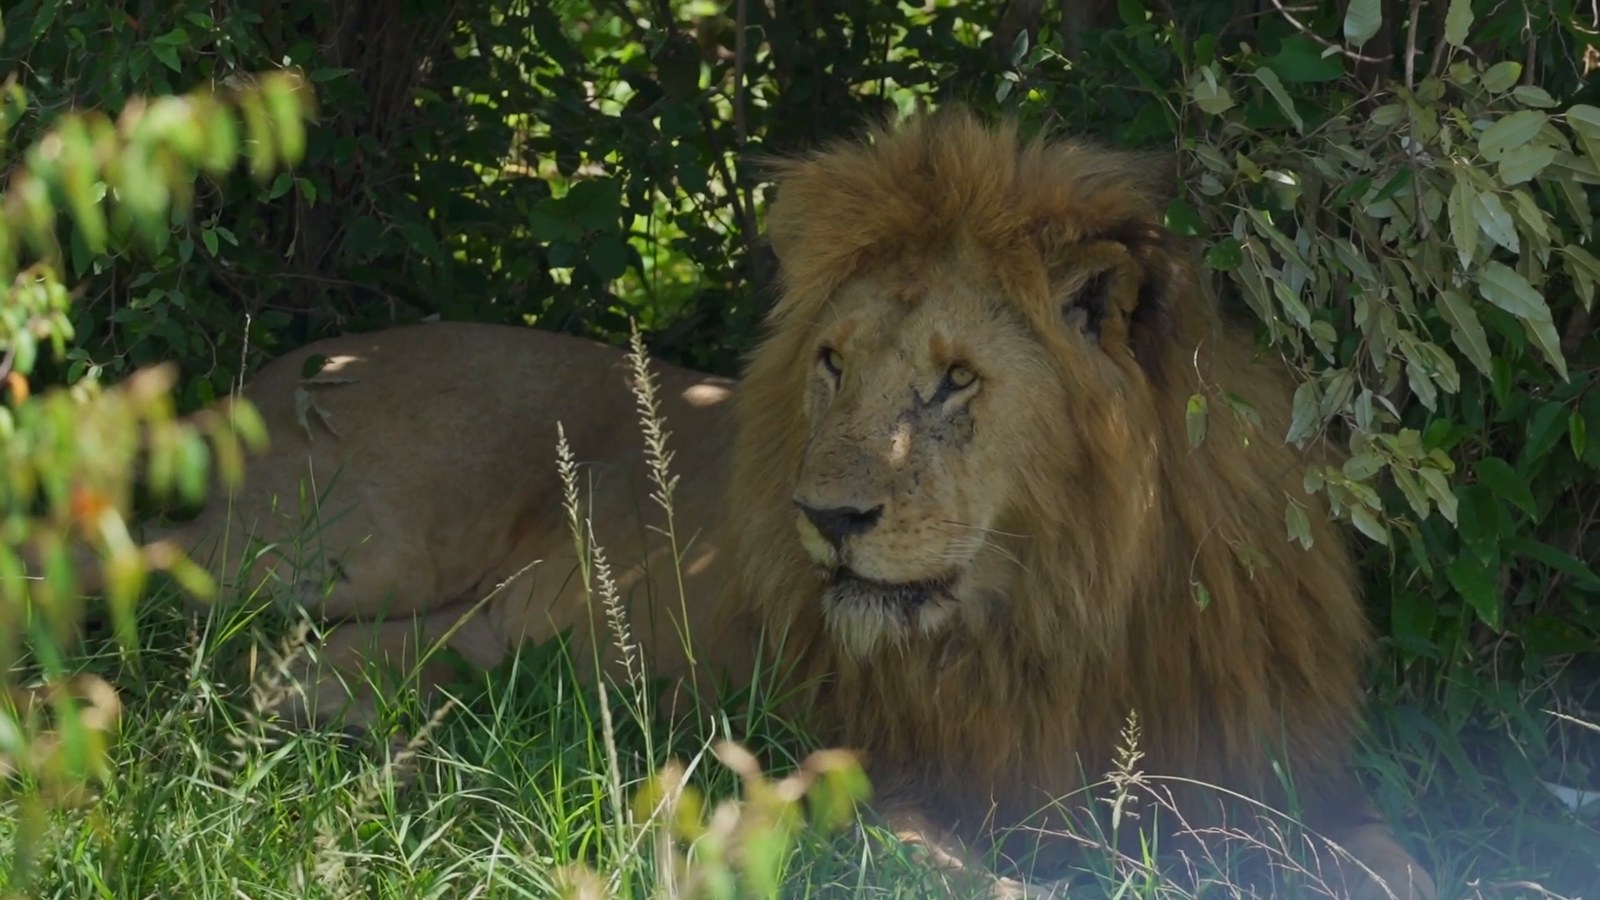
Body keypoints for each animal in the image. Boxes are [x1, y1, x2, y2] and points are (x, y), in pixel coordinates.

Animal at [706, 107, 1438, 899]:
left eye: (957, 377)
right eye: (834, 363)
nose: (828, 516)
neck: (1066, 616)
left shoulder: (1293, 773)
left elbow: (1394, 861)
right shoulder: (864, 780)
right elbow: (935, 861)